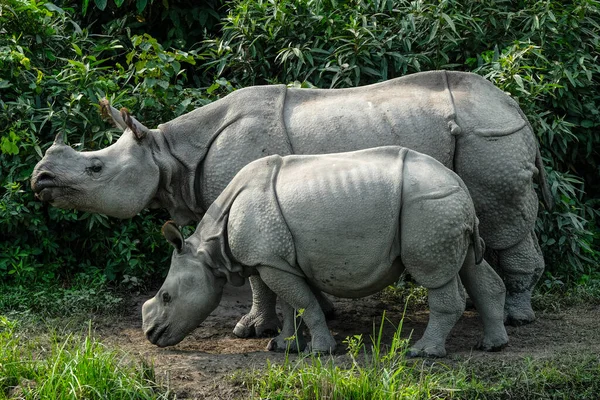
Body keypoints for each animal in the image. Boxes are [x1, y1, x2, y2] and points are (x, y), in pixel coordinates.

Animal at [30, 70, 552, 332]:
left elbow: (257, 280)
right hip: (490, 136)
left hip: (490, 138)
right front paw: (320, 313)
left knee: (504, 223)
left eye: (95, 169)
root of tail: (515, 106)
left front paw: (252, 328)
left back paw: (516, 318)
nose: (40, 179)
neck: (169, 154)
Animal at [143, 146, 508, 356]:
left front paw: (320, 352)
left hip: (429, 207)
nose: (150, 335)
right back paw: (493, 345)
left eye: (166, 297)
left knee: (436, 277)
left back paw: (423, 353)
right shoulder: (278, 261)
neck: (208, 250)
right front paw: (284, 347)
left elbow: (304, 304)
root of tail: (458, 183)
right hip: (446, 207)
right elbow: (293, 305)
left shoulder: (270, 260)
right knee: (471, 266)